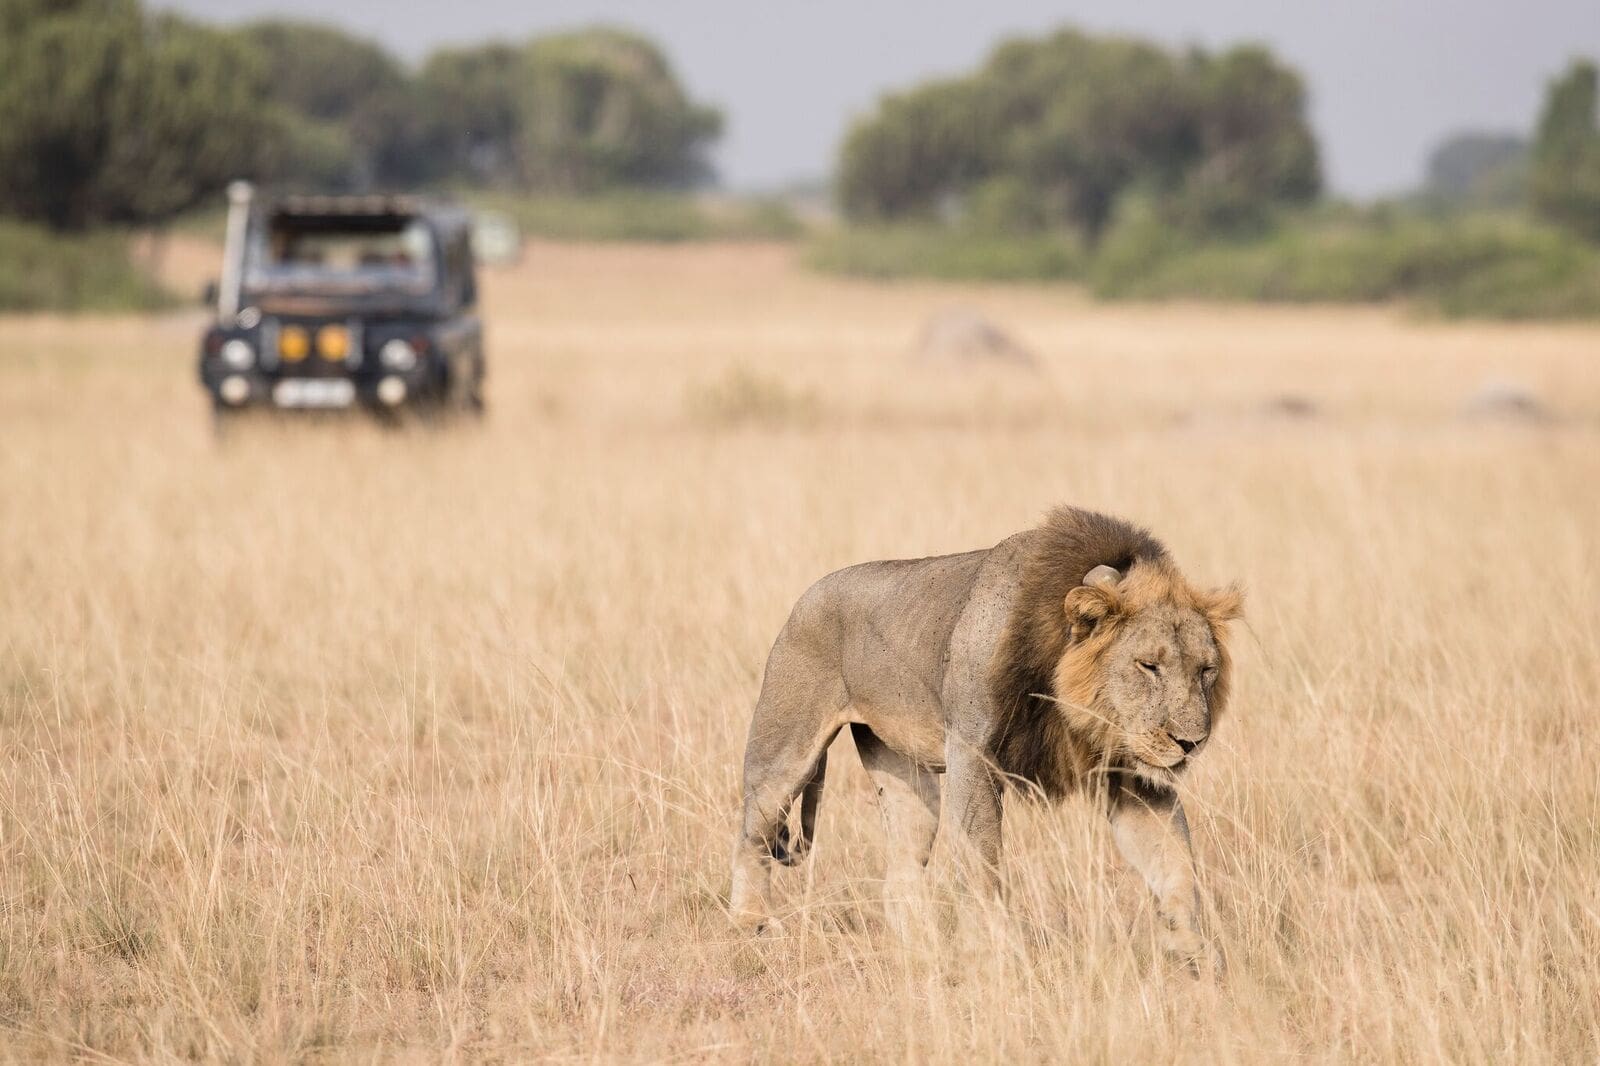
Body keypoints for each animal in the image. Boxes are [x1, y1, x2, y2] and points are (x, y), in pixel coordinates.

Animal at [729, 506, 1242, 964]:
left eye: (1206, 670)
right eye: (1148, 666)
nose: (1191, 742)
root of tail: (807, 596)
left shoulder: (1133, 773)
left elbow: (1175, 862)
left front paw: (1195, 954)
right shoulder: (971, 753)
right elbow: (983, 860)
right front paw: (996, 950)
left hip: (905, 776)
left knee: (902, 870)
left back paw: (923, 951)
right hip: (785, 751)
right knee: (753, 834)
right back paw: (752, 926)